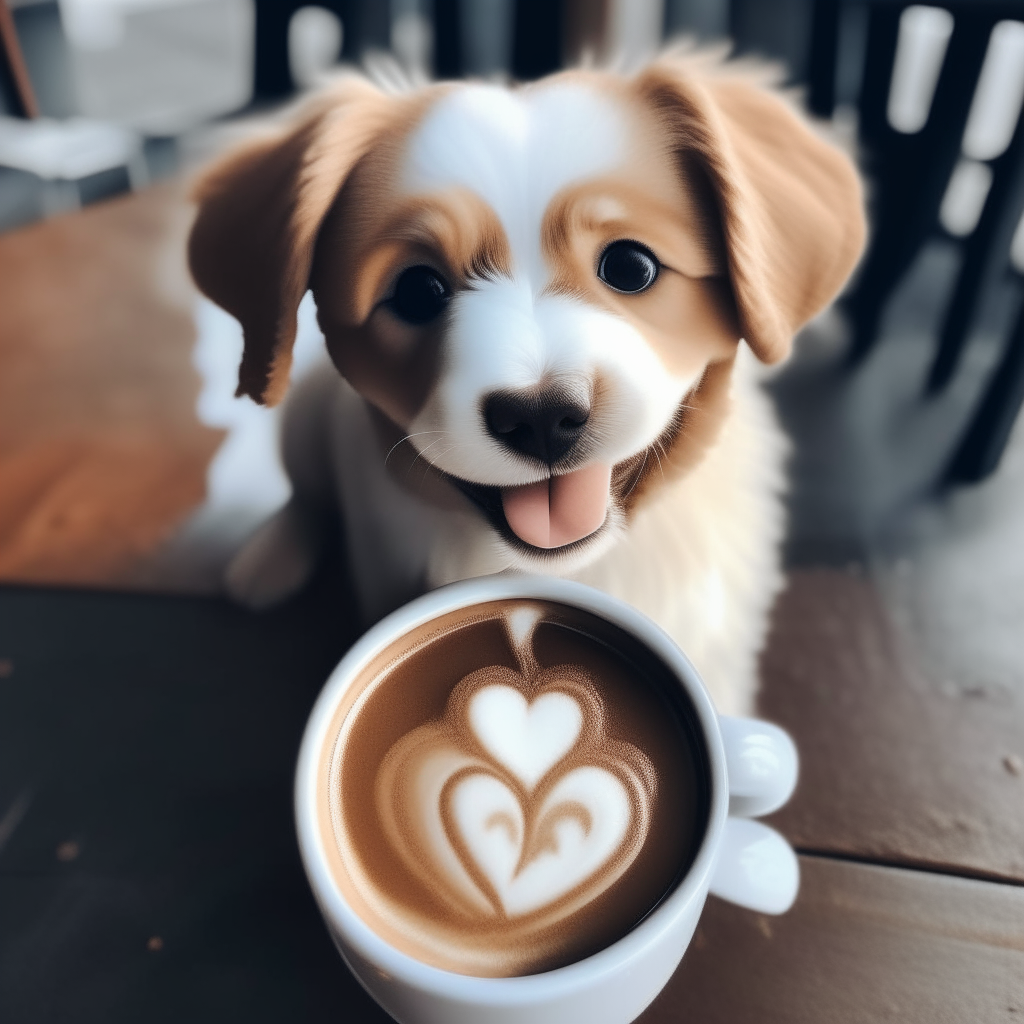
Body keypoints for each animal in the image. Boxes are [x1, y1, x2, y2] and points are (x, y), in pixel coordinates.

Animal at [186, 49, 864, 720]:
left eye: (631, 266)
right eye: (417, 290)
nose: (541, 418)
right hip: (303, 413)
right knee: (306, 493)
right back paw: (270, 558)